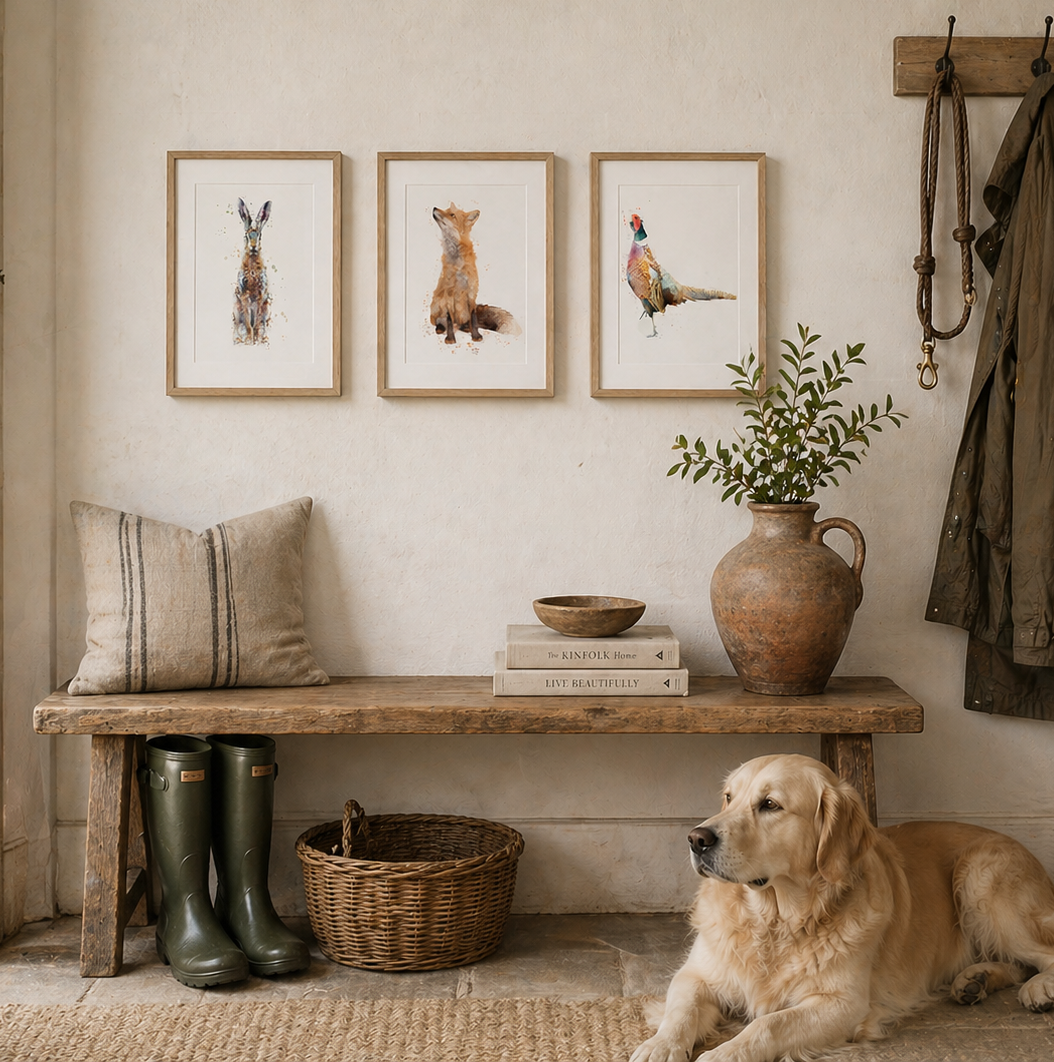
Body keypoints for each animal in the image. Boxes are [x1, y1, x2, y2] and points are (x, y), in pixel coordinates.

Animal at [429, 203, 521, 344]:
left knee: (465, 323)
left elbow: (473, 318)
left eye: (452, 215)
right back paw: (441, 328)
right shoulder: (448, 293)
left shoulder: (472, 291)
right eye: (446, 210)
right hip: (437, 301)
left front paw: (476, 336)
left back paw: (466, 328)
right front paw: (450, 338)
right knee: (441, 321)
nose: (434, 208)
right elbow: (449, 319)